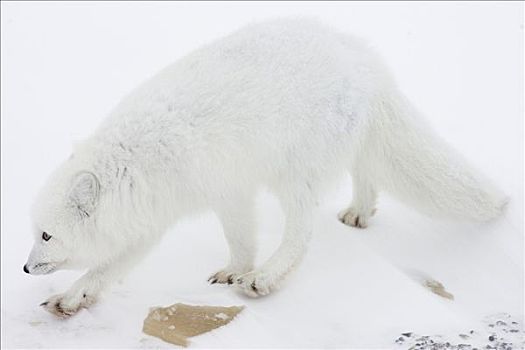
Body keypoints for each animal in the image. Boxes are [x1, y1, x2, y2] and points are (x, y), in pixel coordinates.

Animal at [23, 19, 504, 318]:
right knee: (363, 169)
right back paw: (360, 212)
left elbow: (108, 267)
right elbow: (232, 239)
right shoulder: (192, 202)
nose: (25, 269)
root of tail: (360, 53)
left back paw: (268, 276)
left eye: (46, 235)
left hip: (294, 169)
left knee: (302, 233)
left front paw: (70, 297)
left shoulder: (201, 196)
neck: (137, 160)